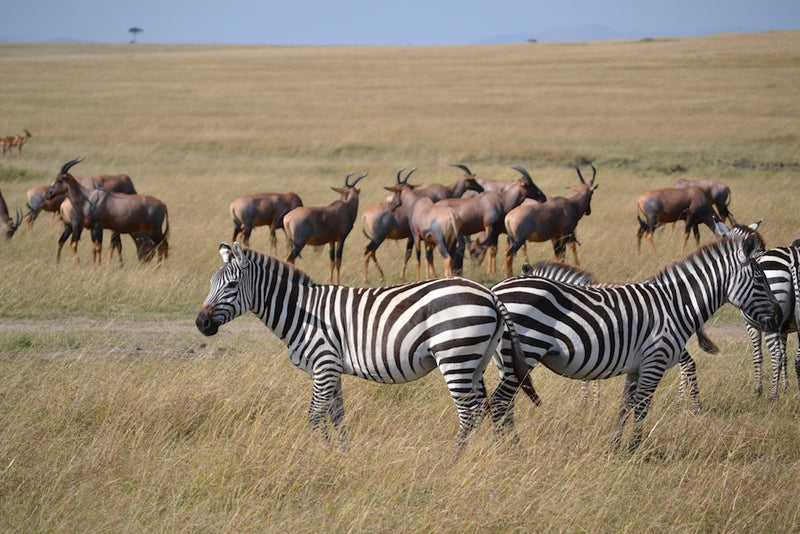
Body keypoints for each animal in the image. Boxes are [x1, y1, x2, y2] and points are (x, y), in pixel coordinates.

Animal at [196, 243, 528, 452]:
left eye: (232, 286)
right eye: (211, 283)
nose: (201, 323)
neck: (302, 312)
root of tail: (487, 292)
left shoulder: (324, 364)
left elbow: (314, 416)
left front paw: (319, 455)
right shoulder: (331, 370)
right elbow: (335, 416)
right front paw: (340, 455)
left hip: (455, 355)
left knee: (468, 411)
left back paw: (453, 460)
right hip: (476, 359)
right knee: (484, 406)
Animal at [488, 224, 780, 450]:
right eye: (759, 279)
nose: (779, 315)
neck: (676, 305)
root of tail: (496, 290)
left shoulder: (635, 367)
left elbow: (624, 406)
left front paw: (617, 445)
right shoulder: (654, 362)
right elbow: (641, 407)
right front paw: (634, 448)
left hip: (509, 360)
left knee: (506, 403)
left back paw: (509, 446)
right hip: (525, 350)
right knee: (500, 402)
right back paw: (510, 449)